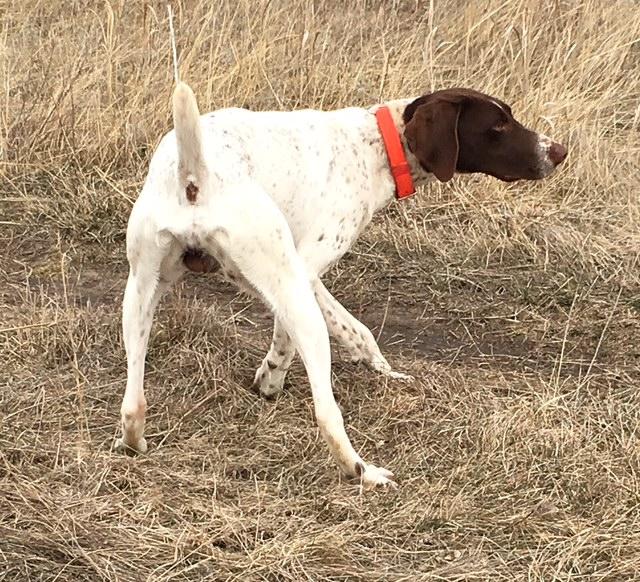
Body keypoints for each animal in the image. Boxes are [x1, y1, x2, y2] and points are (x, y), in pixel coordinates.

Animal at [115, 78, 564, 488]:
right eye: (499, 125)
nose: (559, 151)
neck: (379, 144)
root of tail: (194, 176)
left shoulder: (289, 277)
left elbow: (356, 329)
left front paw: (383, 371)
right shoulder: (304, 269)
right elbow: (292, 338)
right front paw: (271, 379)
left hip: (139, 294)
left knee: (133, 403)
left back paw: (132, 442)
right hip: (290, 293)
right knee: (327, 413)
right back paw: (364, 472)